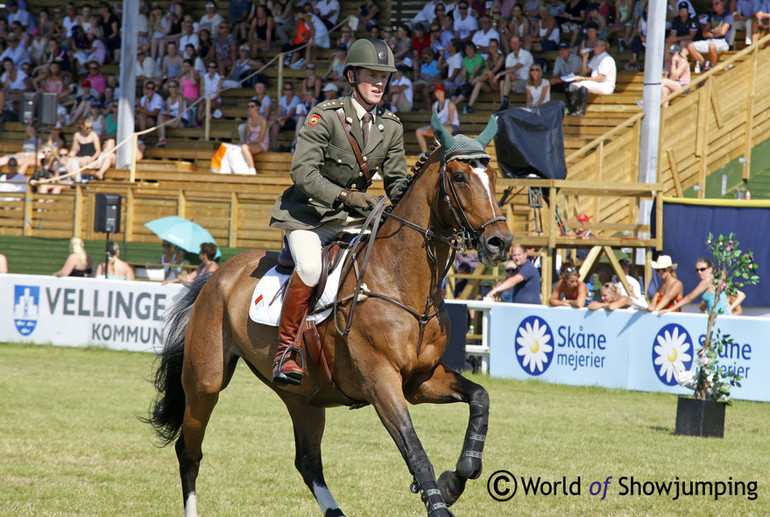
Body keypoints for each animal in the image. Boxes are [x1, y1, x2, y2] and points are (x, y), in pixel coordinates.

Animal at [147, 114, 512, 516]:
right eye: (460, 177)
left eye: (494, 177)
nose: (500, 242)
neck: (403, 283)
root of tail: (218, 274)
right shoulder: (381, 382)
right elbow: (414, 449)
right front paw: (440, 499)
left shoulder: (420, 380)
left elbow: (480, 398)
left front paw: (456, 478)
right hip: (205, 382)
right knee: (189, 451)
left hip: (303, 397)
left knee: (308, 463)